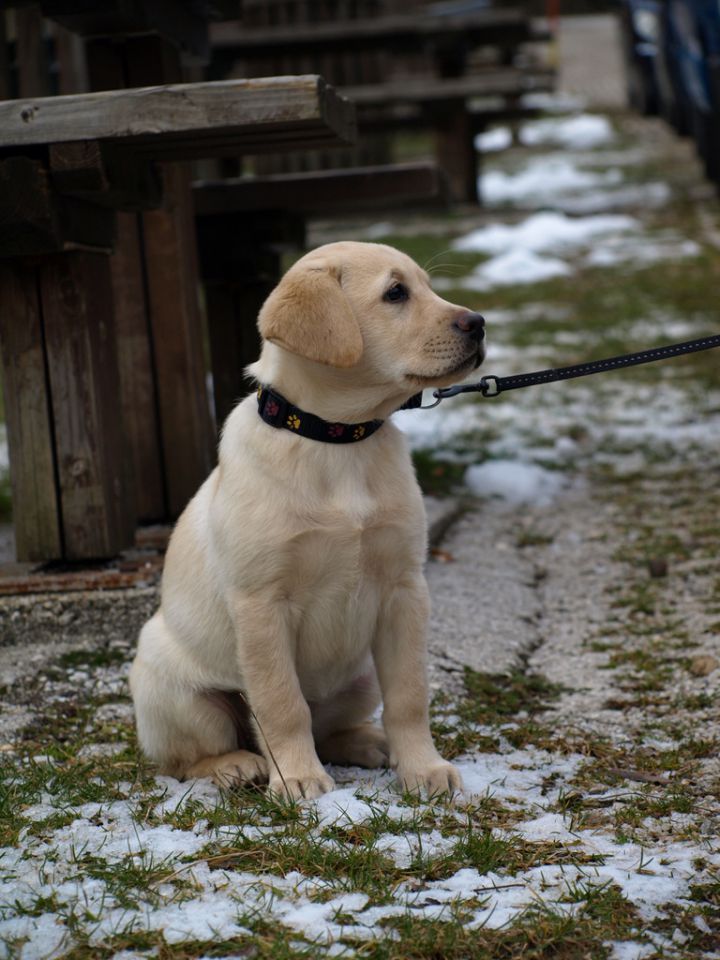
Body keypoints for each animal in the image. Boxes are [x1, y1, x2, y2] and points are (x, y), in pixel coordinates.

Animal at [132, 242, 486, 804]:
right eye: (395, 293)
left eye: (427, 287)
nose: (478, 323)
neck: (337, 439)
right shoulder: (262, 604)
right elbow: (282, 703)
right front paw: (297, 777)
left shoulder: (405, 590)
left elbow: (409, 695)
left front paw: (422, 768)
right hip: (175, 691)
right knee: (190, 757)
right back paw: (236, 765)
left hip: (361, 678)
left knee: (331, 727)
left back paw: (370, 742)